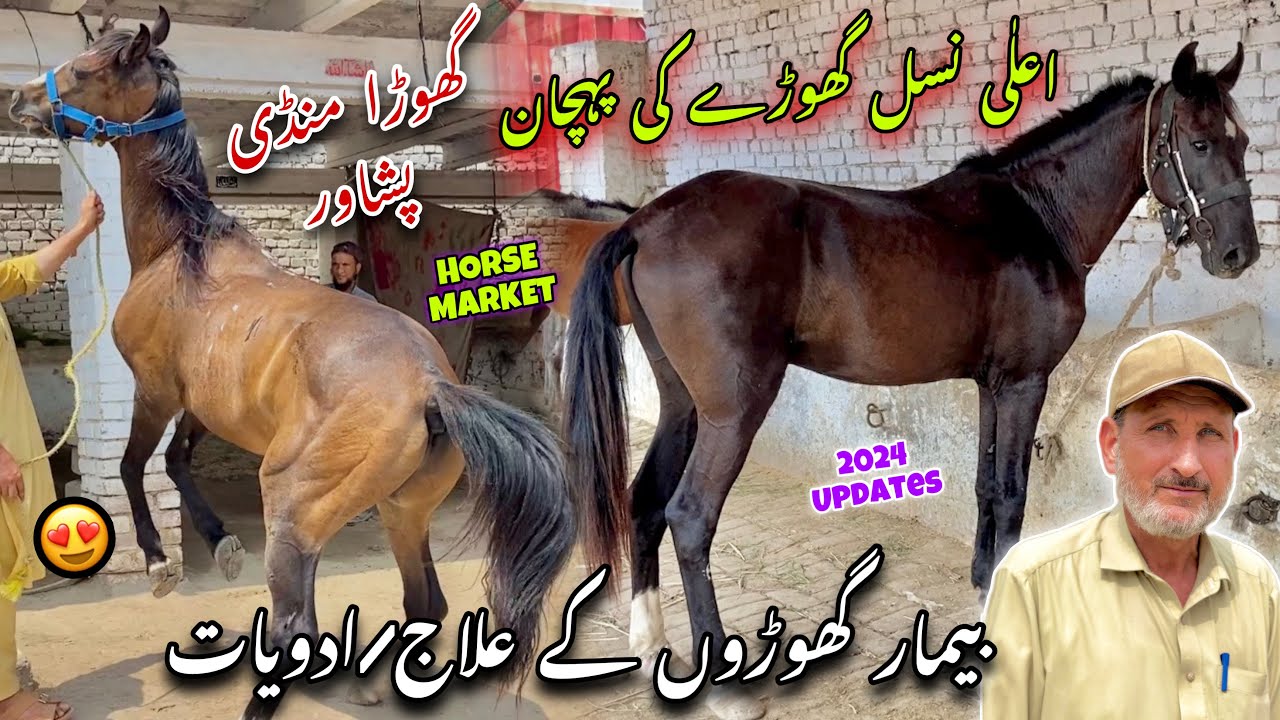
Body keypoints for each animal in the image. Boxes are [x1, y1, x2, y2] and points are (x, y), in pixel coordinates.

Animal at [7, 8, 622, 718]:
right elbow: (179, 462)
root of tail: (431, 386)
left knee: (294, 621)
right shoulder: (205, 404)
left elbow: (136, 466)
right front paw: (221, 545)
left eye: (86, 68)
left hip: (295, 508)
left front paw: (161, 563)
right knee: (424, 601)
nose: (22, 99)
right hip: (401, 512)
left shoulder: (156, 390)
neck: (180, 254)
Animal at [560, 41, 1259, 719]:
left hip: (683, 404)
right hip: (733, 412)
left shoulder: (990, 385)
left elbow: (985, 485)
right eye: (1199, 143)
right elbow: (1011, 493)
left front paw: (985, 584)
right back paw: (724, 687)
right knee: (690, 515)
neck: (1037, 217)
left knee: (645, 500)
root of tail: (644, 221)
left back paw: (651, 644)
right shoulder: (1024, 382)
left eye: (1243, 141)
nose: (1239, 255)